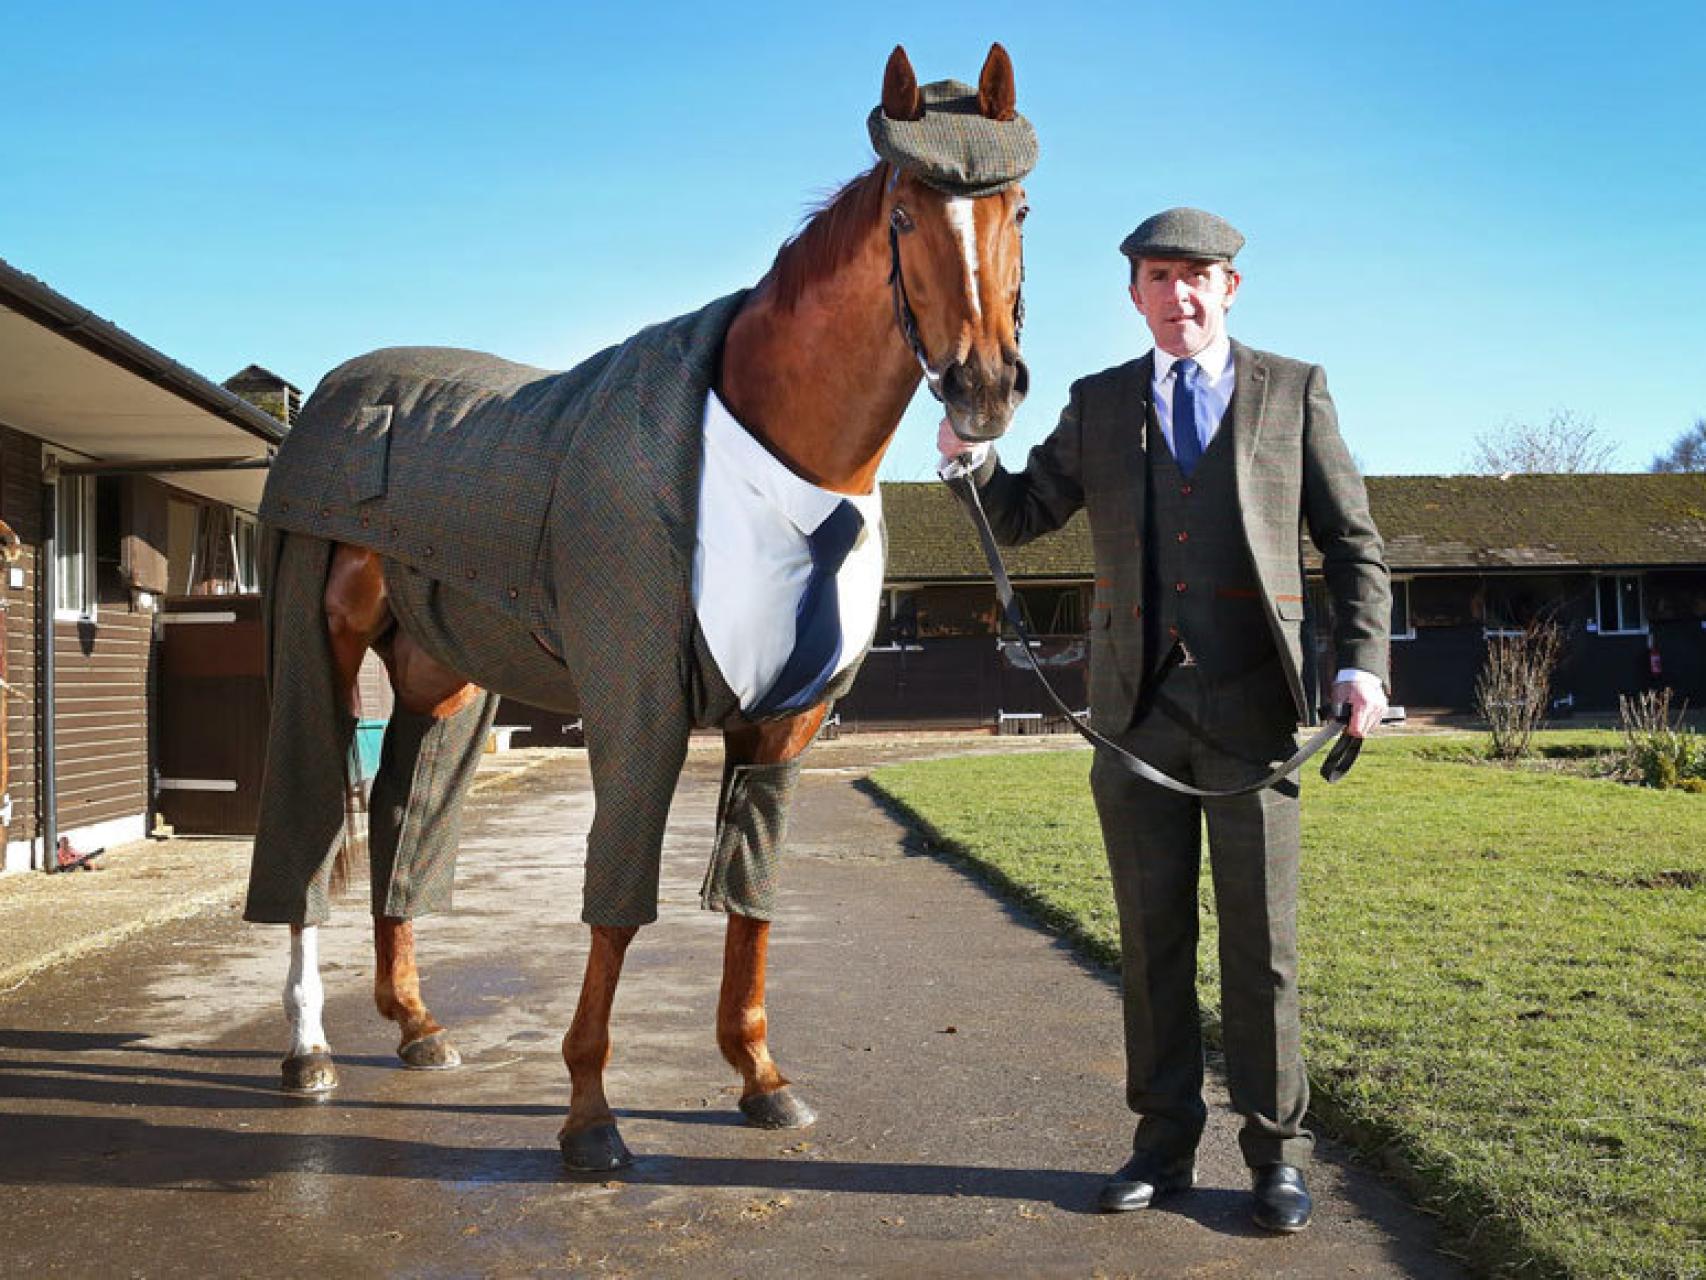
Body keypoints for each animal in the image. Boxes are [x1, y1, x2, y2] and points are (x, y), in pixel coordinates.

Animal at [250, 45, 1023, 1174]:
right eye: (904, 214)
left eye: (1018, 206)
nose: (983, 386)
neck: (775, 462)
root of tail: (338, 398)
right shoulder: (638, 708)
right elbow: (617, 908)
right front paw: (588, 1115)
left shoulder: (781, 727)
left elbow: (748, 902)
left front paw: (761, 1078)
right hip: (322, 650)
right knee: (306, 837)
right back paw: (308, 1049)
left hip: (442, 682)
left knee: (401, 826)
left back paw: (417, 1024)